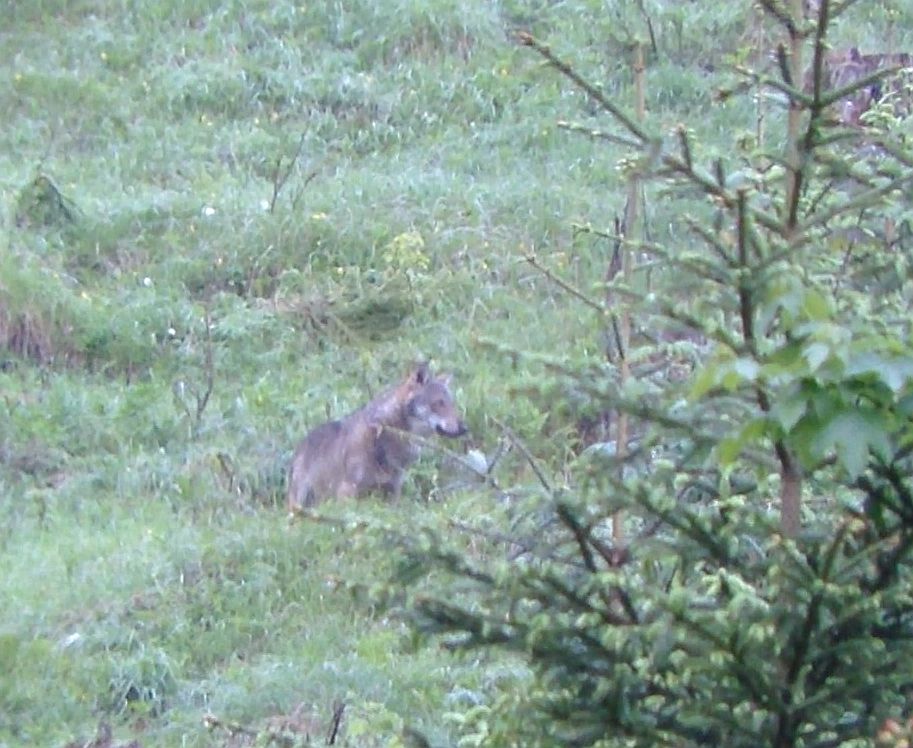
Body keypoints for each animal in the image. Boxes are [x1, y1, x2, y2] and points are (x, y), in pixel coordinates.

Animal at [286, 362, 470, 516]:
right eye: (439, 403)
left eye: (452, 404)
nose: (464, 428)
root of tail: (298, 449)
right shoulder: (348, 492)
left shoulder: (393, 491)